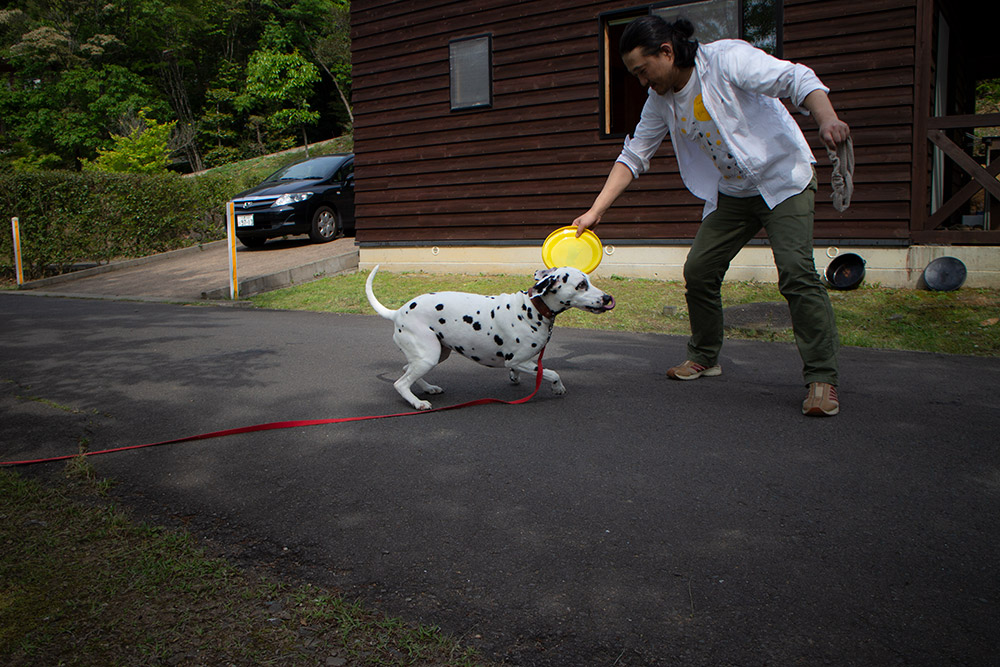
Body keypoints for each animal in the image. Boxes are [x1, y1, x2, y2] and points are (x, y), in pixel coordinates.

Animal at [368, 266, 612, 412]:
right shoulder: (519, 360)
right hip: (429, 356)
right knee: (401, 383)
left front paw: (515, 378)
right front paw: (558, 388)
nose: (608, 297)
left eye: (588, 281)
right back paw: (418, 402)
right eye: (581, 285)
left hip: (435, 355)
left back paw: (428, 388)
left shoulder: (521, 363)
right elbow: (552, 372)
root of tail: (397, 312)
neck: (532, 307)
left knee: (406, 370)